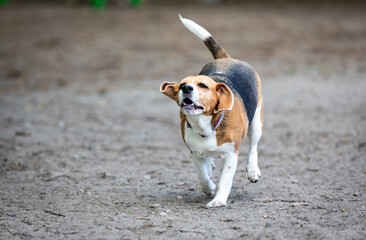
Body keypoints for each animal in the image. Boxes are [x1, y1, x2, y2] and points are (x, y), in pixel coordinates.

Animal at [160, 15, 264, 207]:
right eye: (182, 83)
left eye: (203, 85)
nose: (185, 88)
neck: (204, 125)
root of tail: (227, 59)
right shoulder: (194, 152)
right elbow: (203, 176)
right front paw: (210, 188)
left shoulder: (231, 155)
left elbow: (225, 180)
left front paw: (219, 200)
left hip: (256, 123)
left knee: (253, 147)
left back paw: (253, 170)